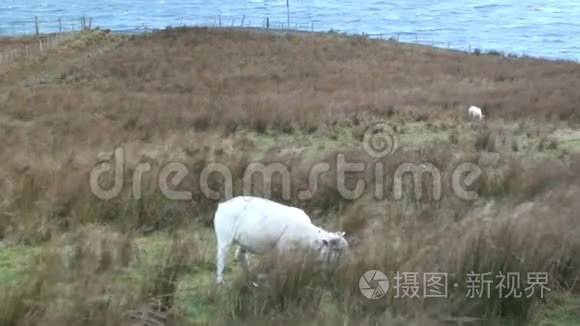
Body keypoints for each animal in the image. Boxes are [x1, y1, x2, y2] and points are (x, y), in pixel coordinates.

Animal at [213, 196, 348, 286]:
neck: (309, 237)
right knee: (221, 259)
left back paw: (251, 278)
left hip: (243, 241)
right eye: (336, 249)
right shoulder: (284, 249)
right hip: (224, 236)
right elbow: (282, 268)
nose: (341, 268)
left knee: (240, 256)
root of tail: (222, 205)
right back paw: (220, 282)